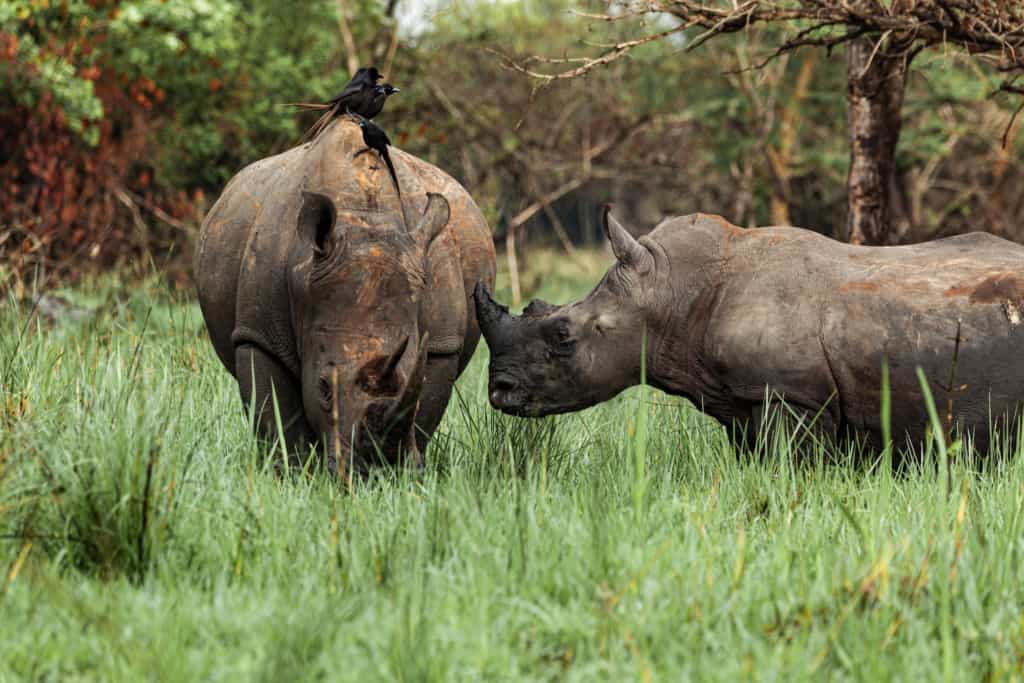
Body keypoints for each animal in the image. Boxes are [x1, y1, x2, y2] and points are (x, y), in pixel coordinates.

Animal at [196, 117, 495, 473]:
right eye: (324, 387)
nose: (376, 470)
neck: (365, 220)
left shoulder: (441, 345)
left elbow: (423, 412)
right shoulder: (259, 333)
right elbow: (278, 419)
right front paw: (293, 475)